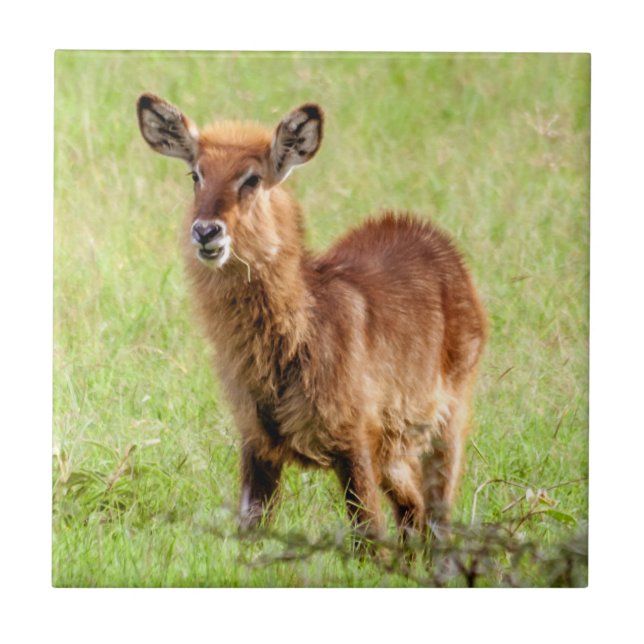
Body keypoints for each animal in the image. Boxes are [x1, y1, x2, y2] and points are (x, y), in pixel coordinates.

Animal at [136, 94, 486, 543]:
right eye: (195, 174)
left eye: (252, 178)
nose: (206, 231)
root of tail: (429, 235)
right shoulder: (257, 442)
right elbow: (250, 534)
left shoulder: (354, 442)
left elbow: (369, 537)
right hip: (394, 449)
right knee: (414, 511)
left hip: (447, 422)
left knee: (438, 517)